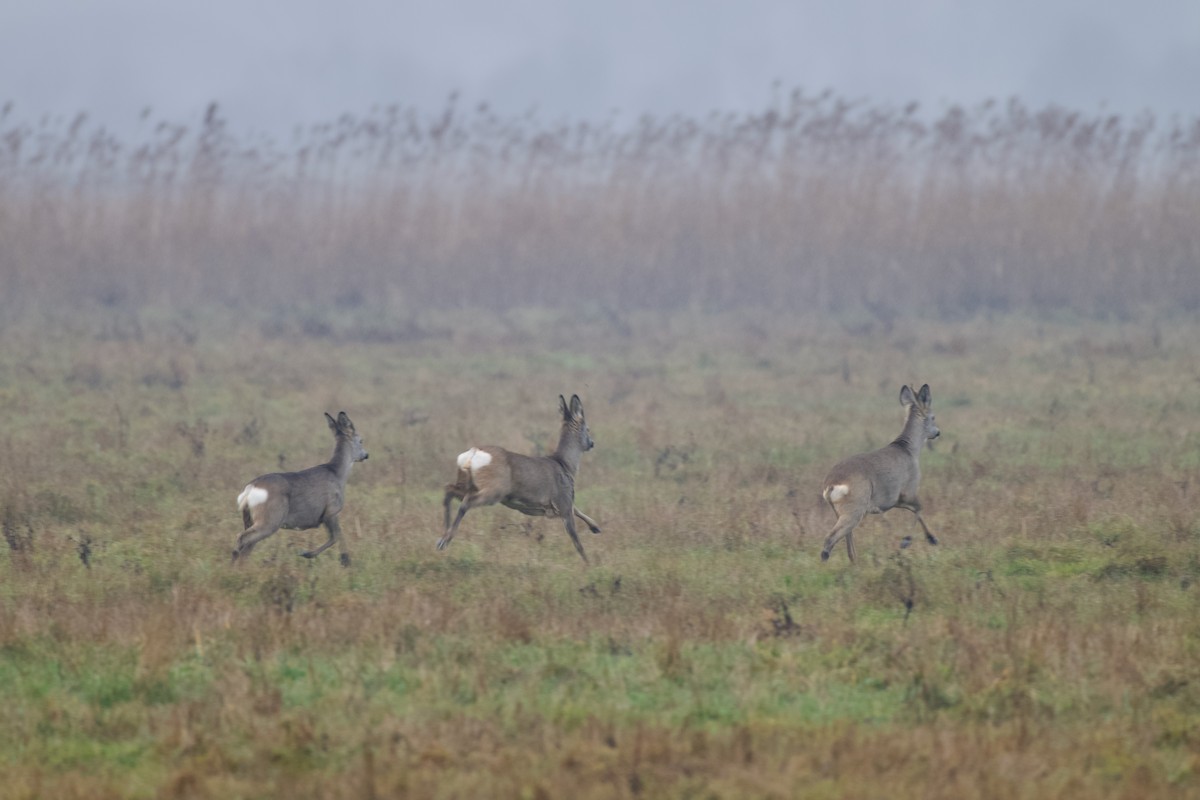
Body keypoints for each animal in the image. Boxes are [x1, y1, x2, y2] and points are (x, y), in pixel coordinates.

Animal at [233, 411, 368, 566]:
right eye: (361, 440)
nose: (366, 455)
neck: (337, 474)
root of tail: (249, 489)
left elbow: (336, 536)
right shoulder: (331, 511)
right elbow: (335, 537)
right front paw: (310, 554)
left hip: (251, 519)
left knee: (246, 548)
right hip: (270, 519)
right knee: (242, 539)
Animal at [439, 394, 601, 564]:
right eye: (588, 429)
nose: (592, 443)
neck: (565, 465)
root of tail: (473, 453)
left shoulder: (563, 502)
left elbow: (577, 510)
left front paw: (595, 527)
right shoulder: (563, 500)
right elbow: (576, 539)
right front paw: (588, 563)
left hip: (468, 483)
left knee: (448, 489)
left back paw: (443, 533)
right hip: (495, 490)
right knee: (466, 502)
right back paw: (445, 540)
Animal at [820, 384, 940, 563]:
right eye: (933, 417)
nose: (938, 432)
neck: (909, 450)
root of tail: (830, 486)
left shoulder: (894, 500)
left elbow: (917, 510)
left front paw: (930, 538)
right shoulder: (907, 491)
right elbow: (919, 508)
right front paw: (910, 540)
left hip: (842, 511)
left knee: (848, 546)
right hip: (855, 509)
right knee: (829, 540)